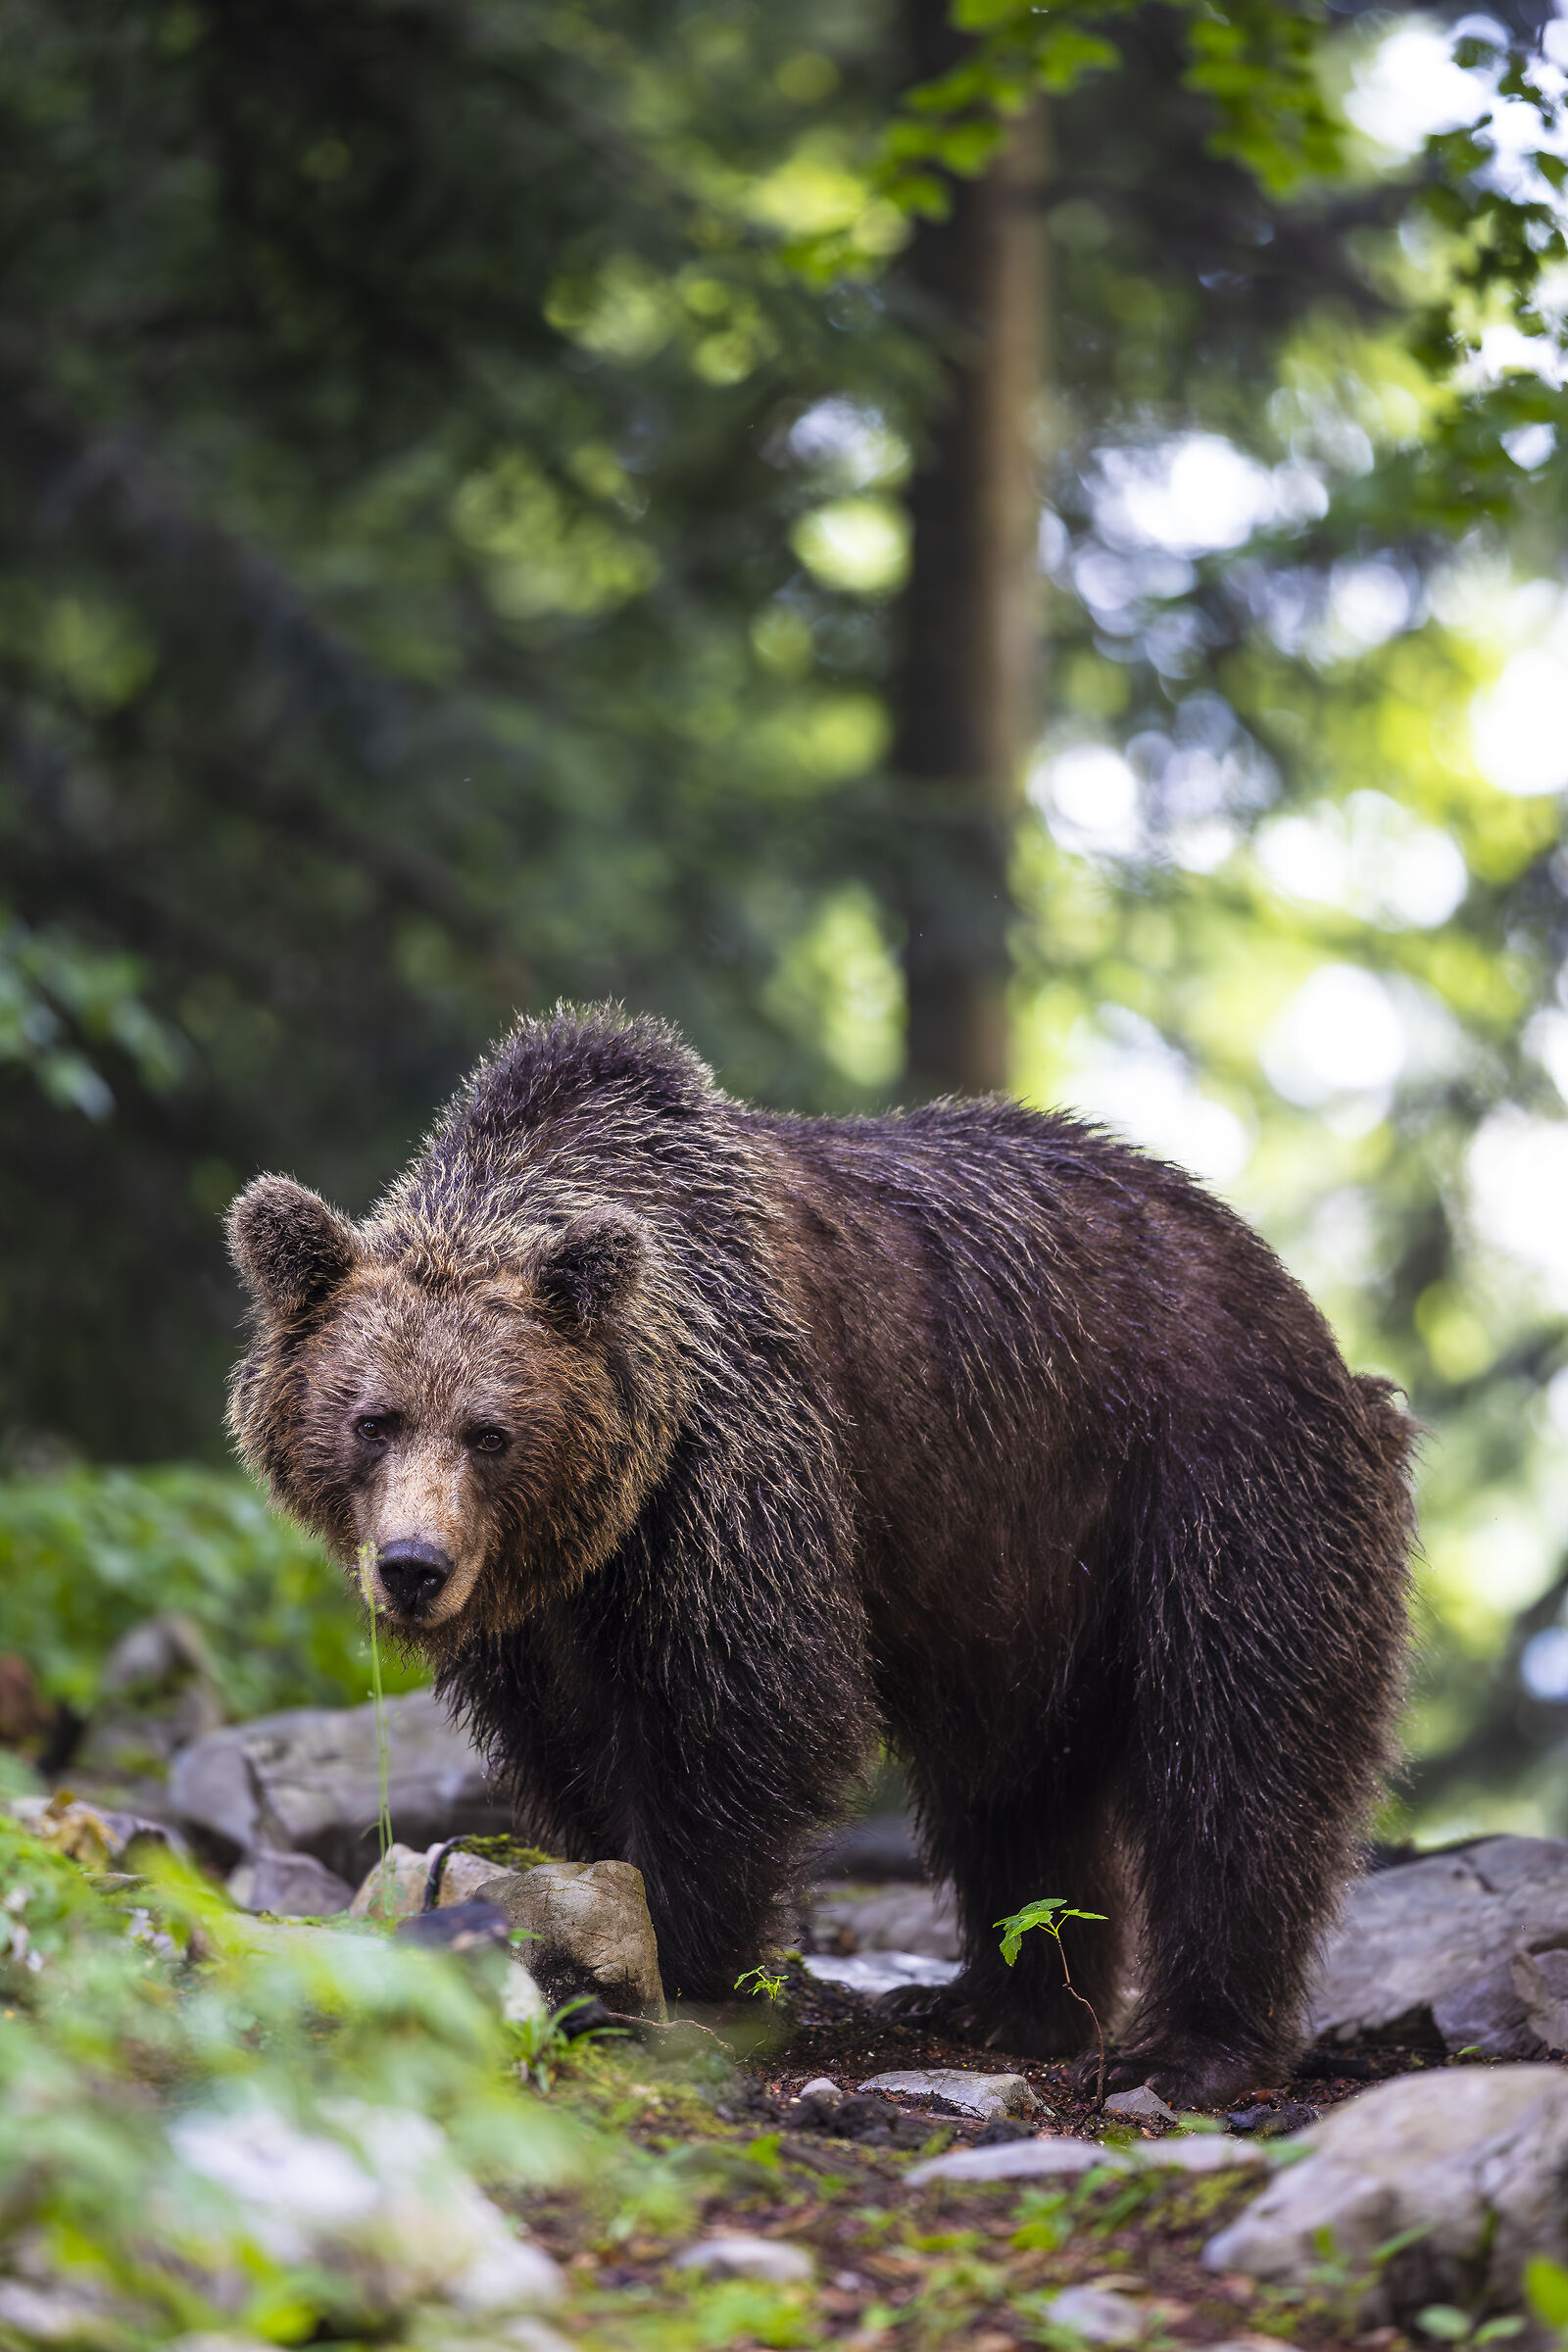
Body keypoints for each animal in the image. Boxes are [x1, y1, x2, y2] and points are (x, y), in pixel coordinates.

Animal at [226, 1004, 1413, 2105]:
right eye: (371, 1420)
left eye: (490, 1432)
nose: (413, 1567)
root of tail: (1300, 1308)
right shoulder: (552, 1599)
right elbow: (569, 1745)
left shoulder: (735, 1466)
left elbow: (747, 1708)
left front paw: (679, 1968)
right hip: (1016, 1574)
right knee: (1016, 1787)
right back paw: (1000, 2004)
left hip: (1208, 1484)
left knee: (1239, 1758)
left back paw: (1190, 2044)